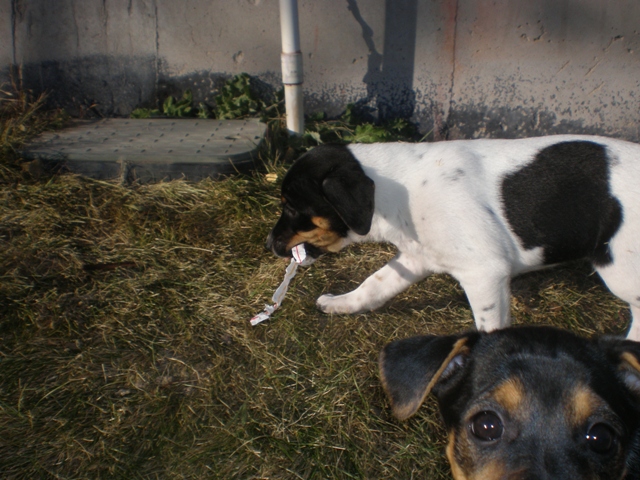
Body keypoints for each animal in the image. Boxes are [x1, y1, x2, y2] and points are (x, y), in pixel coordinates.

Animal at [264, 135, 640, 338]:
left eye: (292, 207)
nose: (268, 245)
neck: (392, 193)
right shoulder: (417, 257)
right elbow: (375, 284)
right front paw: (342, 303)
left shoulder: (485, 272)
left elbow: (490, 328)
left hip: (620, 269)